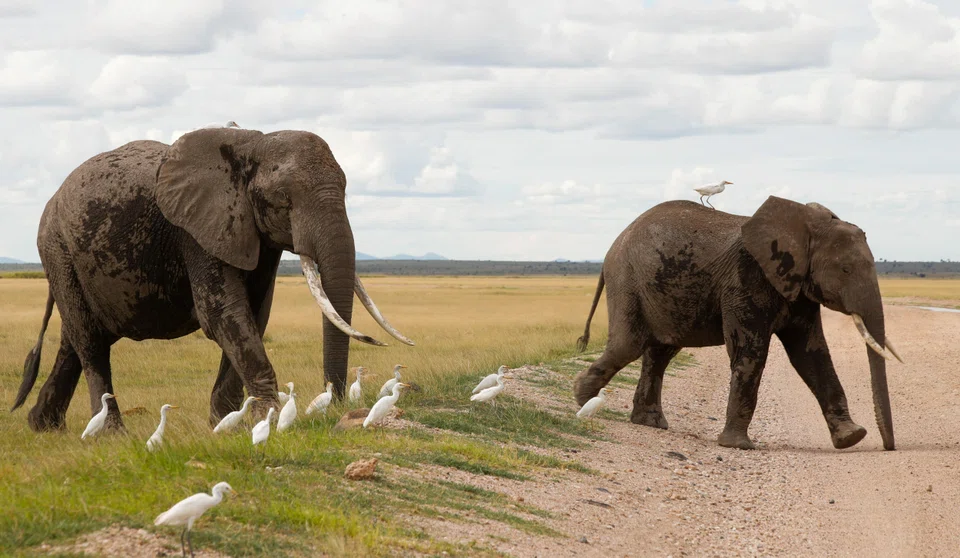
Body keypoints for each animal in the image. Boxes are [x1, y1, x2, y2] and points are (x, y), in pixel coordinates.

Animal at [11, 126, 414, 432]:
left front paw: (225, 425)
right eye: (283, 198)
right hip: (57, 247)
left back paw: (42, 426)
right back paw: (110, 434)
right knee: (90, 341)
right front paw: (263, 419)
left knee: (75, 339)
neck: (250, 145)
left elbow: (254, 315)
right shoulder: (196, 232)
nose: (337, 404)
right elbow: (222, 314)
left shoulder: (253, 233)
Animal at [573, 196, 903, 451]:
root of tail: (614, 245)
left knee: (660, 352)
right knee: (628, 344)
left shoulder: (798, 288)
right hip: (627, 279)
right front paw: (738, 446)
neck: (804, 226)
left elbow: (811, 354)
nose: (889, 447)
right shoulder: (746, 279)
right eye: (845, 269)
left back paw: (649, 423)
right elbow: (750, 352)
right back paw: (583, 399)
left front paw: (851, 438)